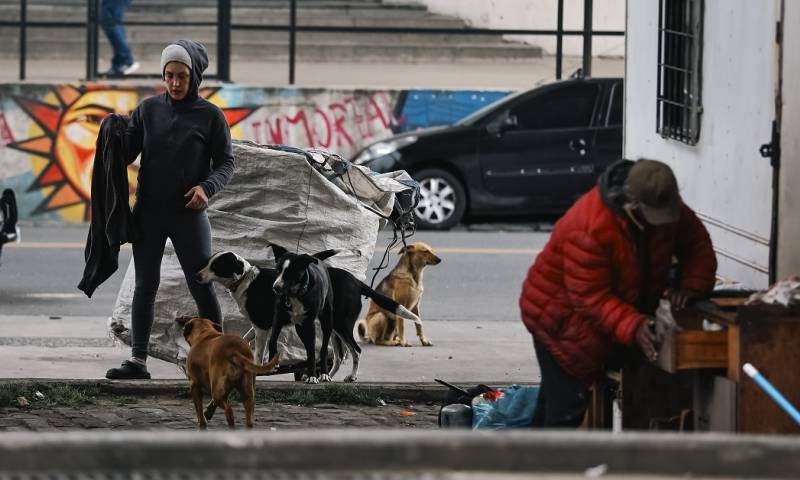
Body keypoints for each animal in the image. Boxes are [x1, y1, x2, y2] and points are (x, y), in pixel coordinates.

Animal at [268, 244, 418, 382]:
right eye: (278, 270)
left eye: (290, 272)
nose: (275, 287)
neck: (295, 295)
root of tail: (357, 282)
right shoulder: (281, 321)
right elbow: (273, 340)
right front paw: (272, 361)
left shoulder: (309, 326)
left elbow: (313, 352)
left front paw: (312, 376)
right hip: (334, 328)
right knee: (338, 357)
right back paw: (327, 375)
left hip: (339, 324)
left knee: (354, 350)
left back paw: (348, 376)